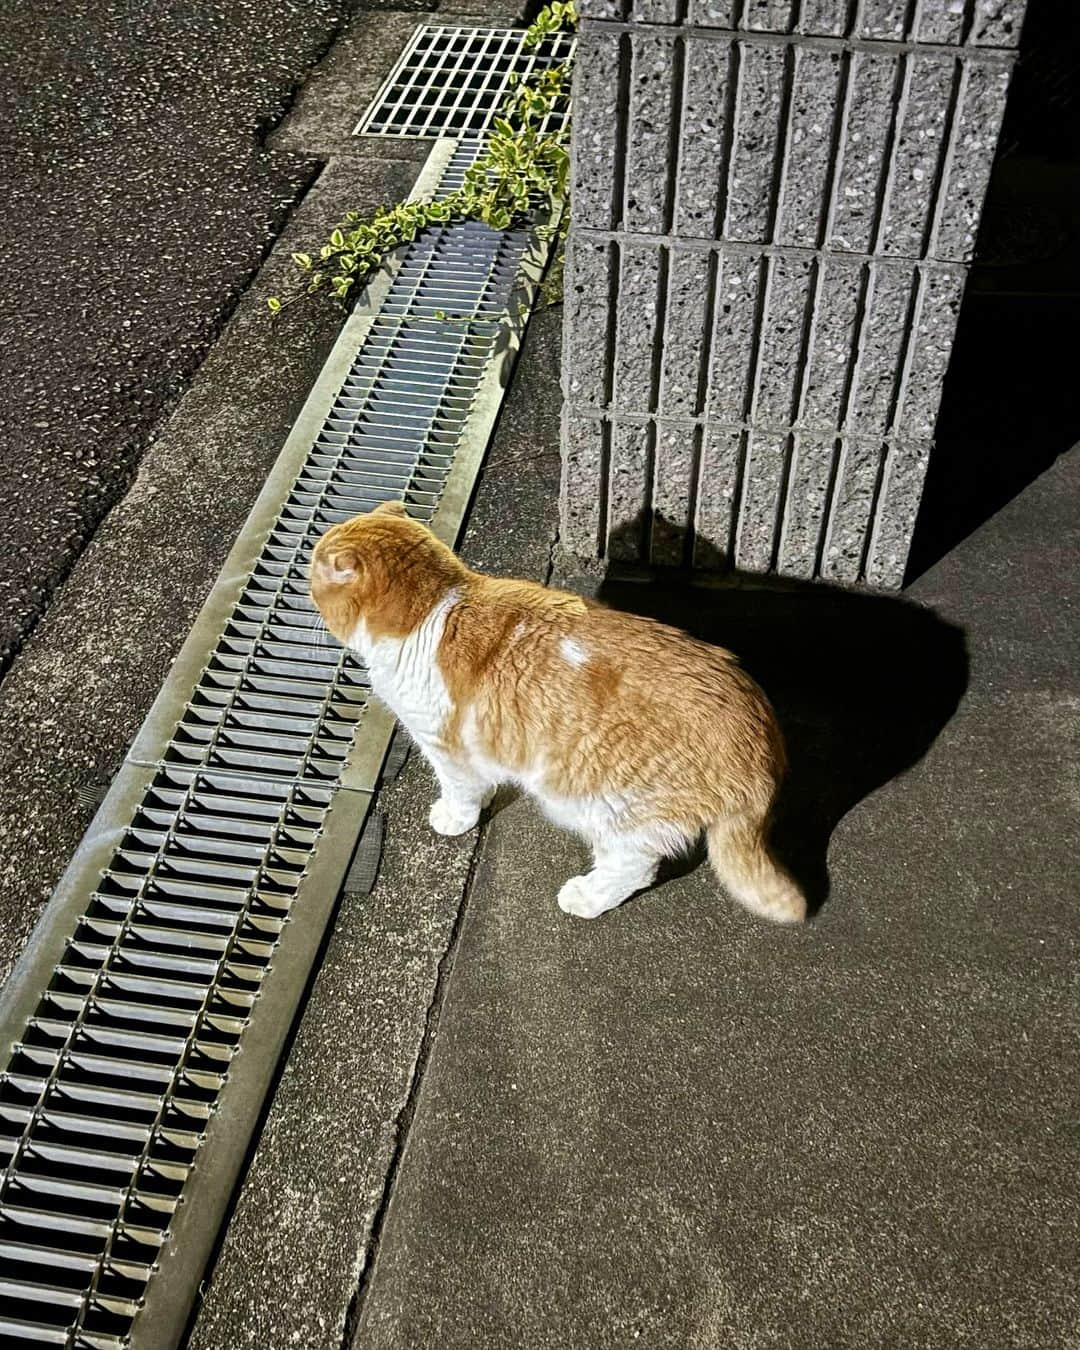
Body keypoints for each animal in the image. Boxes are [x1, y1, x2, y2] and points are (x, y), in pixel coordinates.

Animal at [310, 502, 799, 923]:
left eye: (313, 563)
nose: (302, 572)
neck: (433, 610)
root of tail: (761, 744)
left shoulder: (446, 747)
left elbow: (460, 791)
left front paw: (456, 817)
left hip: (603, 805)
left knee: (634, 867)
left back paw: (587, 897)